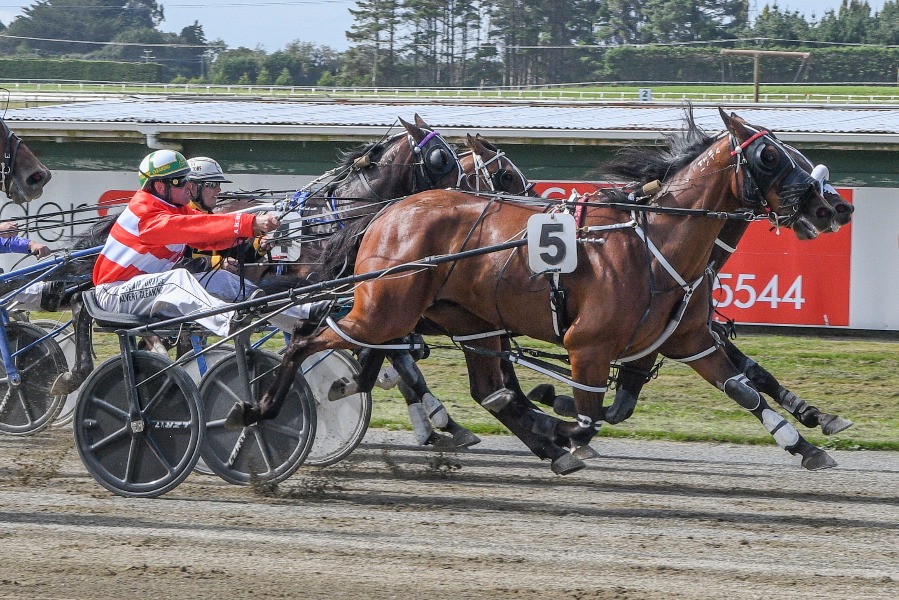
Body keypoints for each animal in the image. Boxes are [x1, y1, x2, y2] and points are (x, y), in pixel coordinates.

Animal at [230, 106, 836, 474]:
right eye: (770, 156)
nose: (832, 206)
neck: (652, 241)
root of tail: (389, 211)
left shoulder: (688, 340)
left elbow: (746, 386)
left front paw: (807, 440)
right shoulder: (589, 346)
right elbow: (589, 417)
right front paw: (559, 418)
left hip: (462, 321)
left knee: (483, 389)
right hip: (385, 308)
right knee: (308, 341)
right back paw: (261, 409)